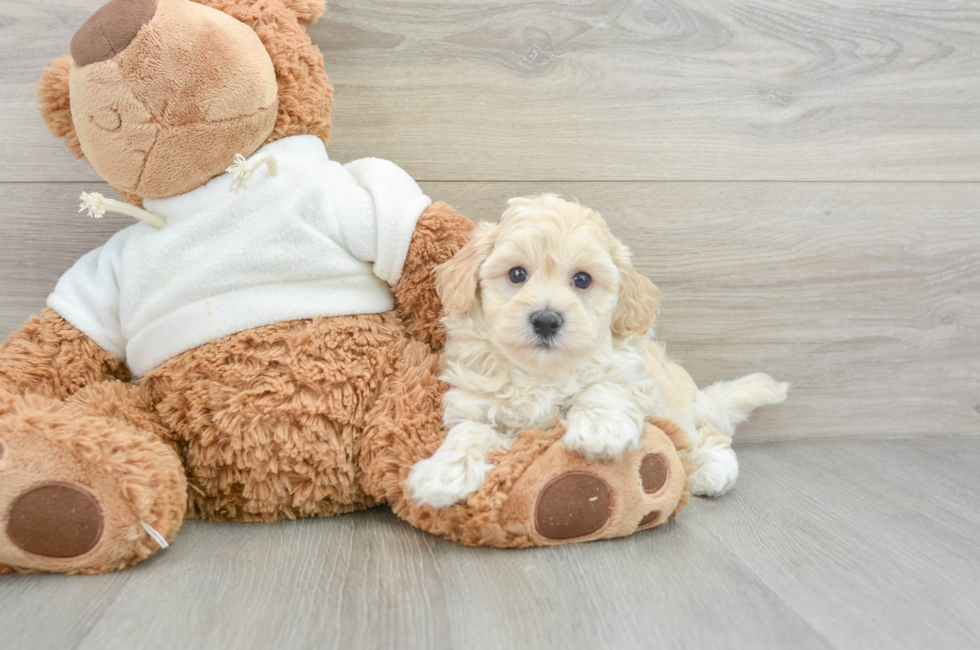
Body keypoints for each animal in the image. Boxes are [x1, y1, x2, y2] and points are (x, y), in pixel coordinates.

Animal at [406, 195, 788, 508]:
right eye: (516, 274)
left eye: (582, 280)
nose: (546, 320)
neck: (541, 372)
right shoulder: (473, 404)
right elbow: (468, 433)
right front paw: (441, 475)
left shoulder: (634, 376)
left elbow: (605, 388)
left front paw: (599, 430)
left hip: (682, 411)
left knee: (709, 436)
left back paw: (712, 472)